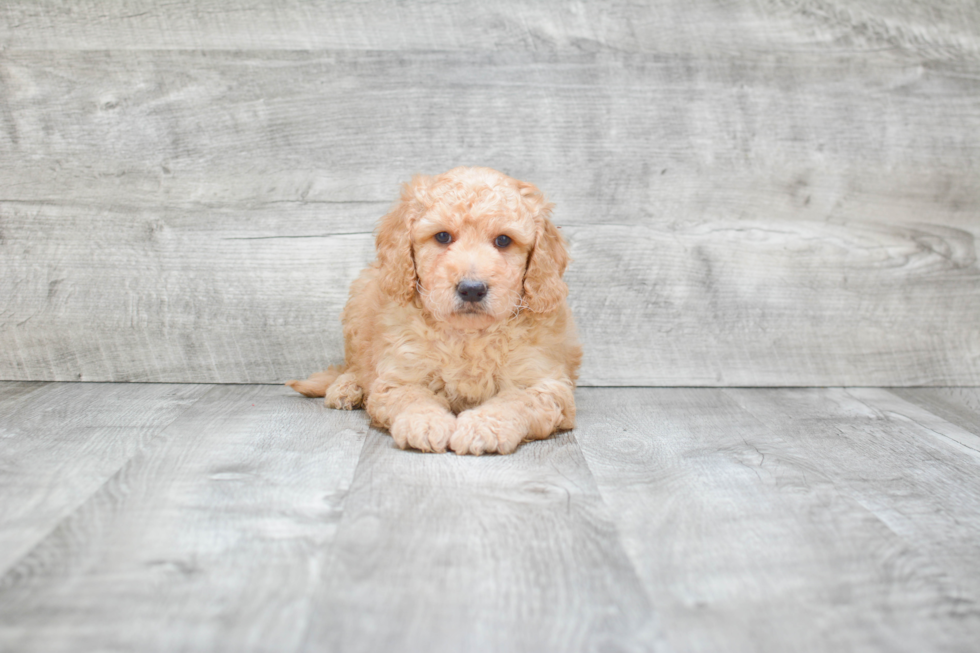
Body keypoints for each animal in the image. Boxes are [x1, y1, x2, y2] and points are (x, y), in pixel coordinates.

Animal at [290, 166, 580, 456]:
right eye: (442, 236)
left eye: (503, 240)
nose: (471, 289)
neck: (468, 336)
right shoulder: (400, 375)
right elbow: (412, 397)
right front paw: (426, 424)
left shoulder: (543, 384)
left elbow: (515, 401)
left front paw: (482, 428)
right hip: (359, 303)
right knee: (355, 364)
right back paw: (345, 388)